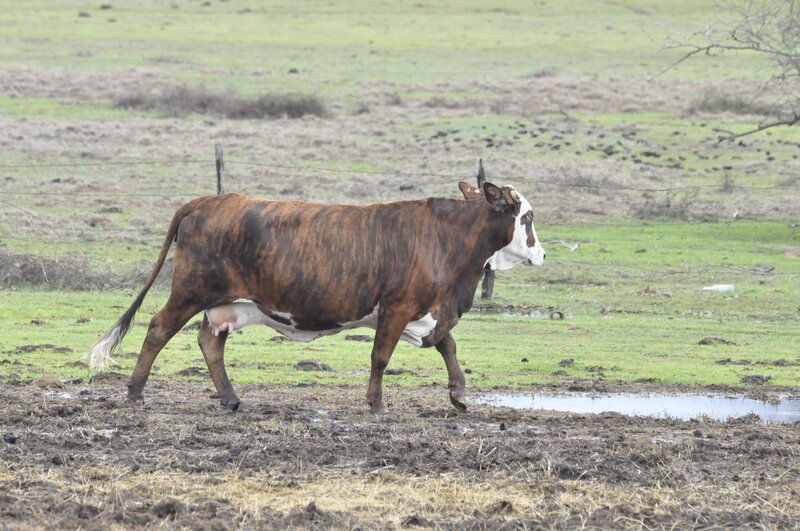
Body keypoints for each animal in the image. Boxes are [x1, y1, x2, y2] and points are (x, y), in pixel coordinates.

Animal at [86, 181, 545, 413]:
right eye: (526, 217)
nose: (541, 253)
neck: (446, 240)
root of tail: (210, 200)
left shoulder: (427, 311)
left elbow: (447, 345)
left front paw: (459, 393)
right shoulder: (396, 307)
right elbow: (381, 356)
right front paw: (376, 403)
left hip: (225, 304)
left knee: (209, 342)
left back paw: (230, 398)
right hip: (190, 290)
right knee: (158, 329)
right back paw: (136, 391)